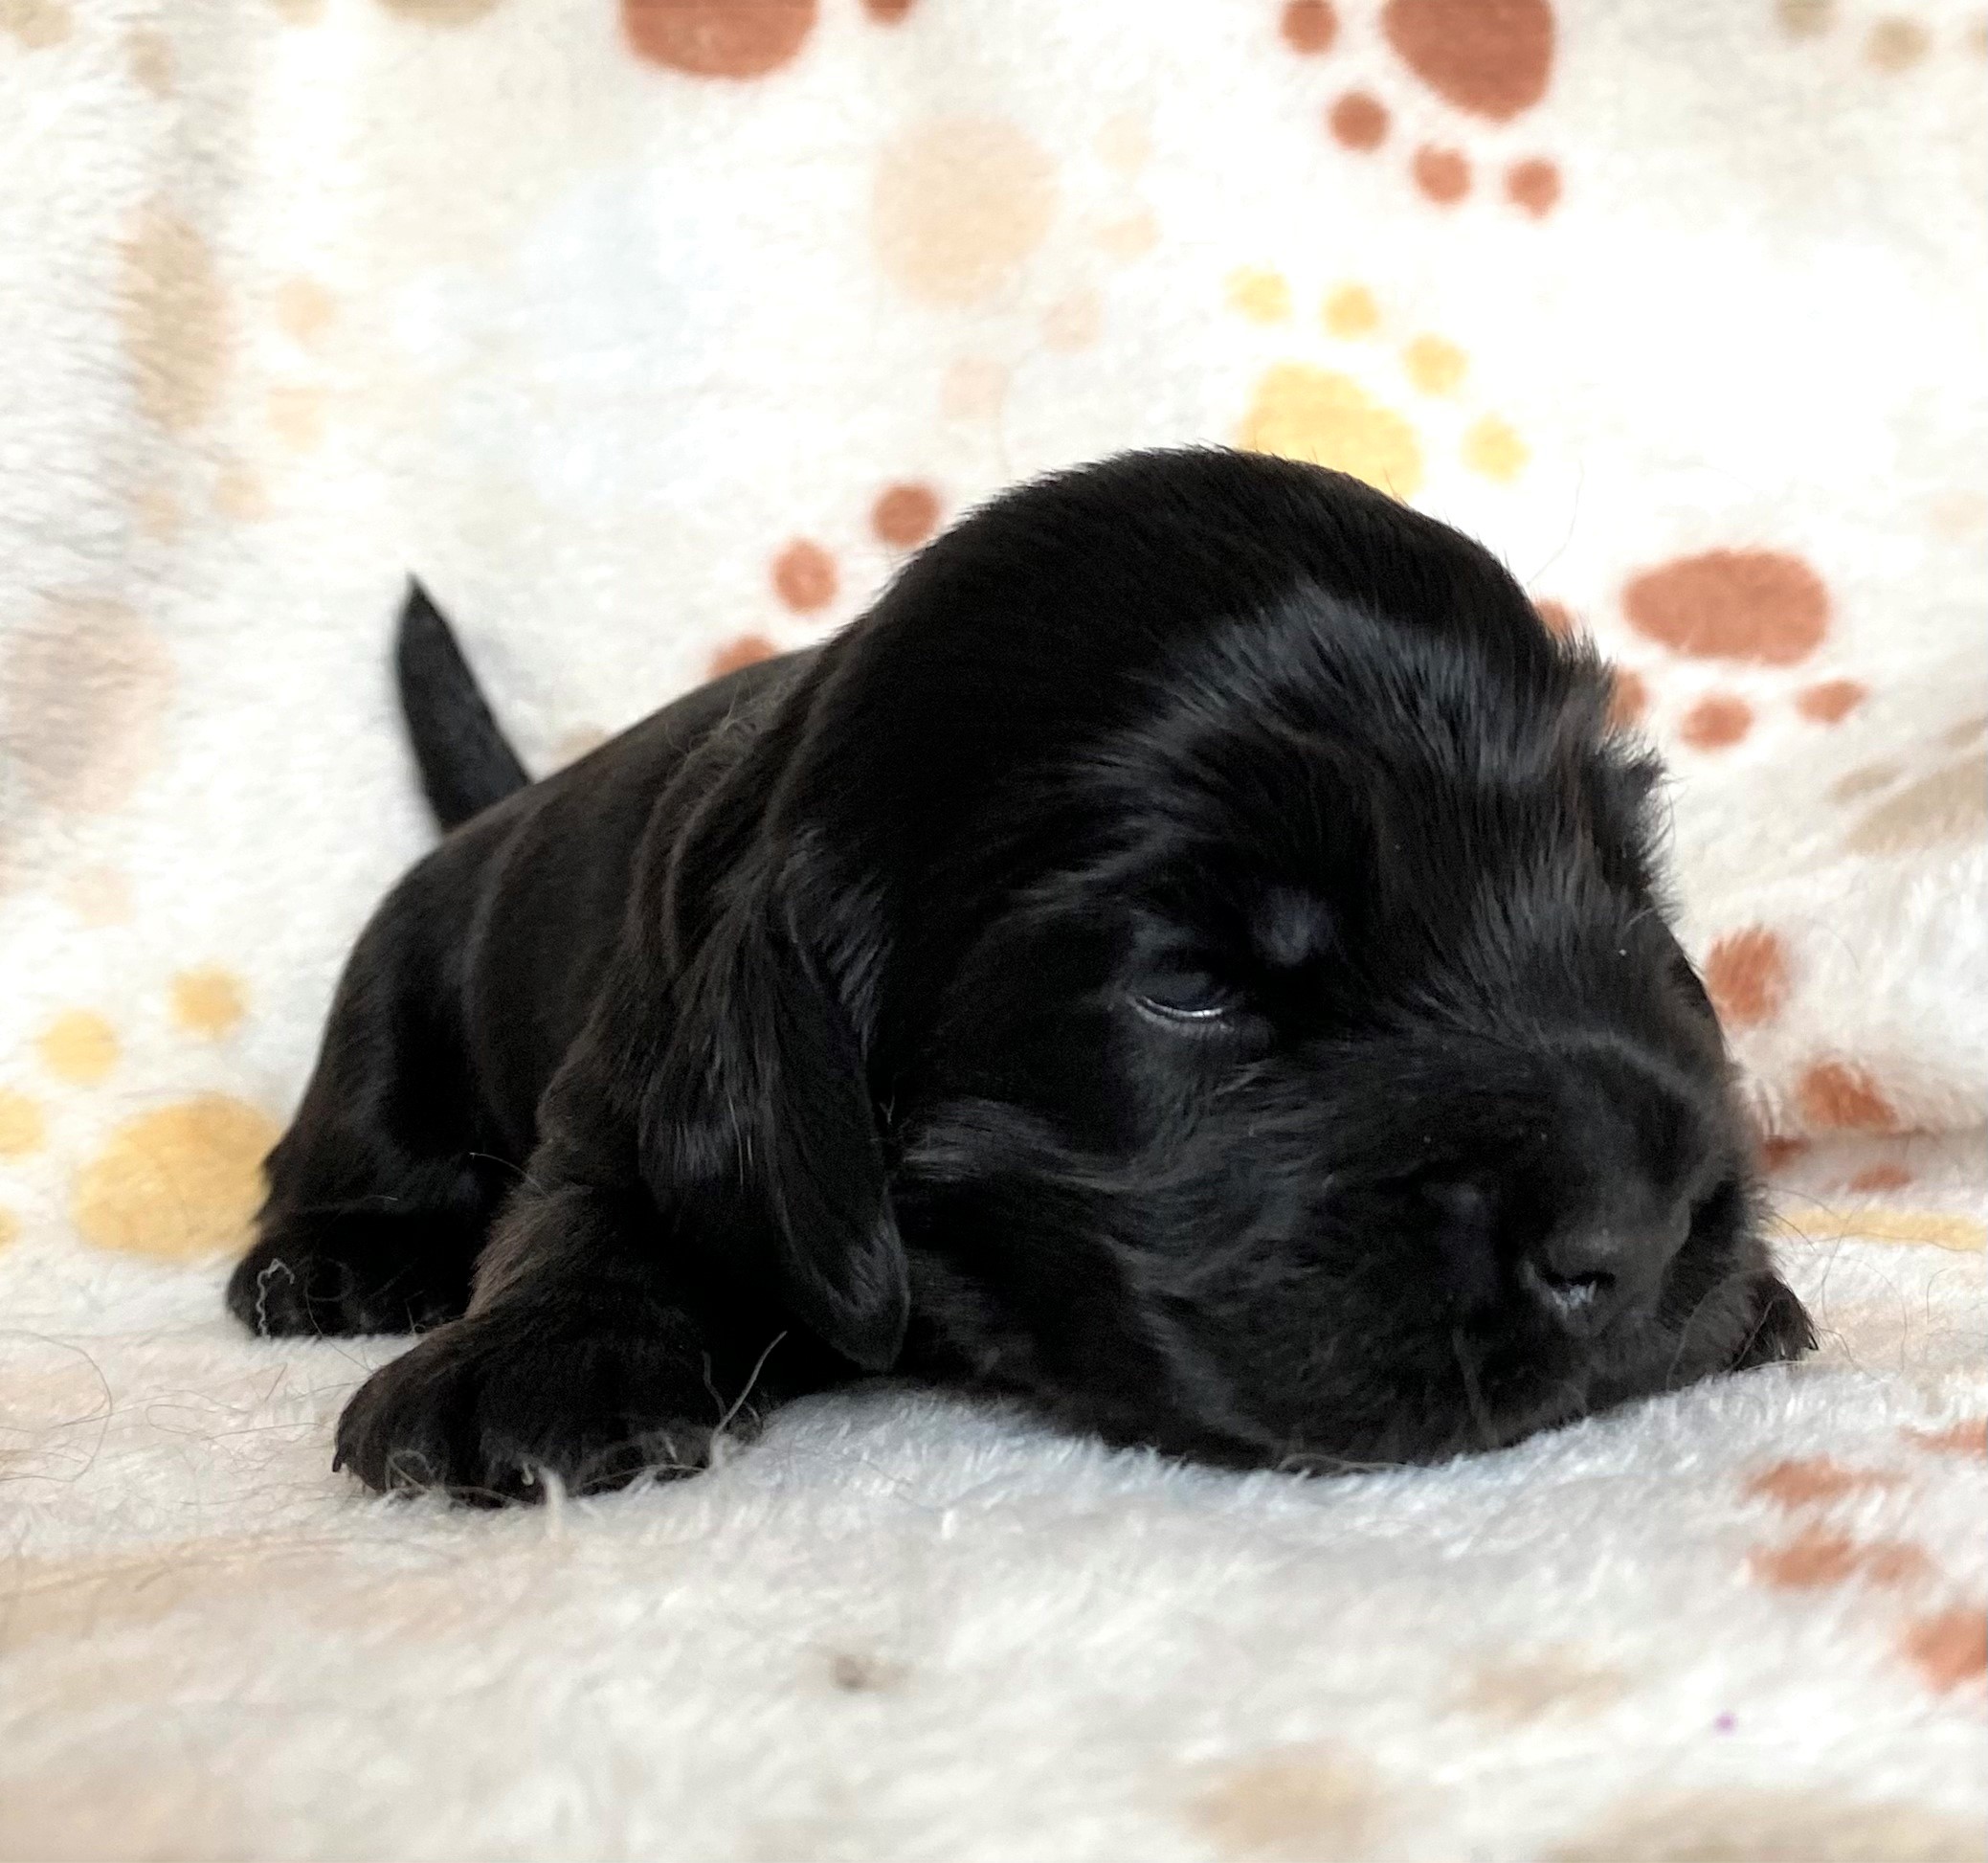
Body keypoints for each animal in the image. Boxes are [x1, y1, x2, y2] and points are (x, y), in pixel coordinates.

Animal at [228, 448, 1814, 1501]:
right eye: (1190, 985)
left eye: (1623, 898)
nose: (1643, 1228)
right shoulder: (636, 1078)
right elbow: (587, 1213)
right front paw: (533, 1364)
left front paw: (1752, 1298)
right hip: (388, 988)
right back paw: (334, 1260)